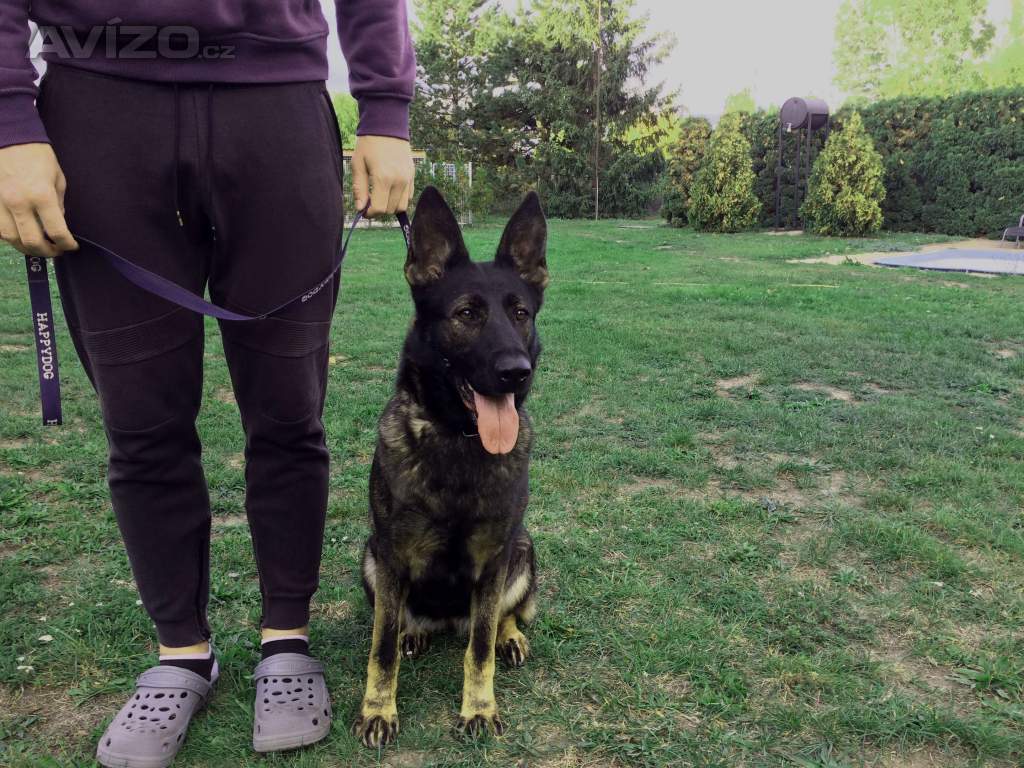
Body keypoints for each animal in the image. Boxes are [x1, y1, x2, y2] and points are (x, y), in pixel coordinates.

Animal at [352, 186, 548, 748]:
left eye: (521, 313)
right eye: (466, 314)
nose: (515, 372)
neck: (461, 439)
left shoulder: (494, 559)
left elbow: (478, 647)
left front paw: (479, 708)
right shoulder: (391, 556)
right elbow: (381, 648)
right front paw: (378, 710)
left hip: (522, 552)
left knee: (501, 615)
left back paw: (510, 636)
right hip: (370, 556)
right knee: (397, 621)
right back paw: (414, 631)